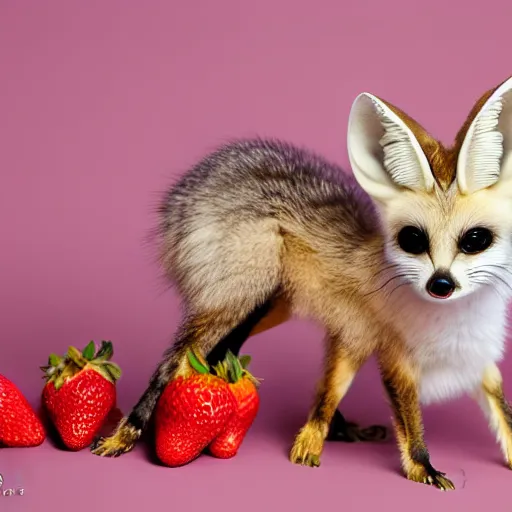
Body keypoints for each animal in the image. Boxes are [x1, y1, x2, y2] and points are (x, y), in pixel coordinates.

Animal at [93, 76, 512, 488]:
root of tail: (186, 189)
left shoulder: (465, 358)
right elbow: (405, 423)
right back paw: (126, 433)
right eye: (412, 239)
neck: (452, 324)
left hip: (266, 307)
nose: (440, 285)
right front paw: (422, 466)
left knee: (218, 357)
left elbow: (502, 412)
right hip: (239, 300)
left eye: (475, 240)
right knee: (173, 363)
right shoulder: (391, 356)